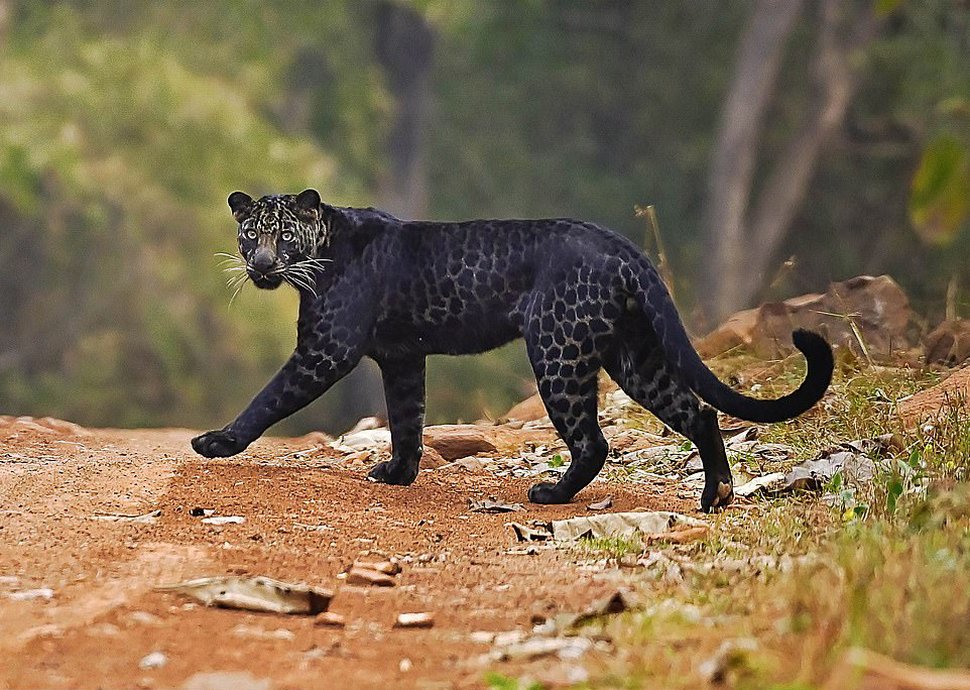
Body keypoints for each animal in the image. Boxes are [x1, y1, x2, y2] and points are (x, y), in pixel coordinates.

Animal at [192, 189, 834, 512]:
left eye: (282, 233)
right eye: (249, 234)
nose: (261, 263)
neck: (321, 250)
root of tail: (621, 245)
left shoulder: (326, 349)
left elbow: (269, 397)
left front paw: (217, 443)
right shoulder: (402, 359)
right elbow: (406, 420)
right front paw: (398, 474)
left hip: (558, 351)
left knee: (593, 440)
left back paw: (550, 495)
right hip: (633, 356)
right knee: (698, 411)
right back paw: (715, 496)